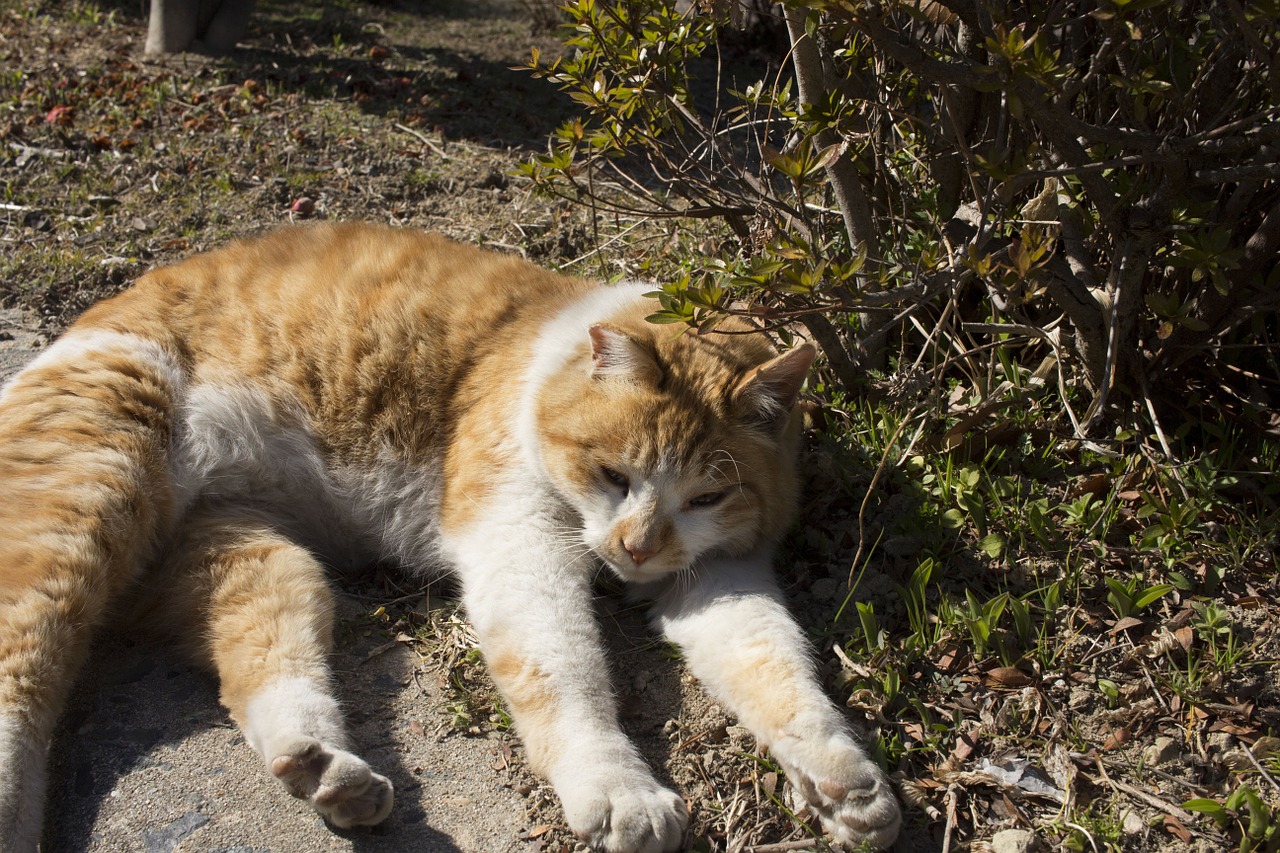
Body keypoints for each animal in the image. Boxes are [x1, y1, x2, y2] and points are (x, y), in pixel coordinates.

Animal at [0, 220, 901, 850]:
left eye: (707, 495)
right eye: (614, 475)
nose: (635, 549)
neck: (538, 362)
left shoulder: (717, 576)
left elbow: (775, 666)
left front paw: (845, 781)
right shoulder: (518, 544)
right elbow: (563, 672)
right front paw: (616, 787)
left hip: (254, 555)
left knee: (262, 656)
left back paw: (327, 772)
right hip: (89, 493)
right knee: (26, 668)